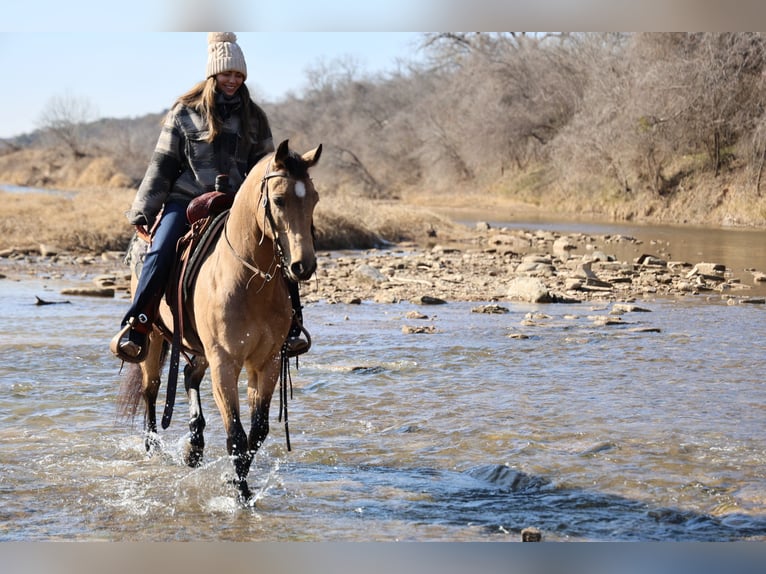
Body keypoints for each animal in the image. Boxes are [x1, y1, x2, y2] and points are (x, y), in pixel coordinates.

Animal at [117, 139, 321, 502]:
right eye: (279, 200)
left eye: (314, 198)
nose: (303, 266)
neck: (249, 279)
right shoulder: (225, 363)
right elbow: (236, 435)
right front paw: (240, 493)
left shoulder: (266, 362)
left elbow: (257, 431)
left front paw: (237, 481)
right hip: (154, 340)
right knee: (150, 390)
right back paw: (153, 447)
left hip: (199, 348)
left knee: (187, 377)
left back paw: (194, 448)